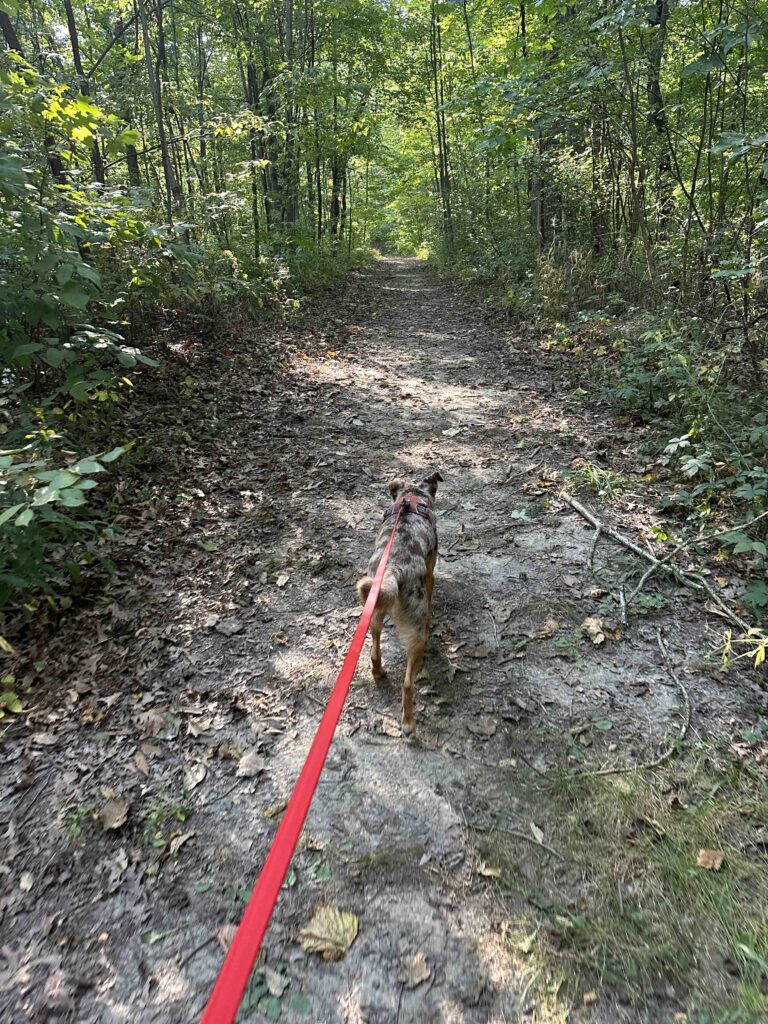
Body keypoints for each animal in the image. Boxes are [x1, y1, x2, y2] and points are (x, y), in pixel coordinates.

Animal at [356, 471, 442, 737]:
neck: (411, 499)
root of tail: (394, 570)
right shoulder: (430, 573)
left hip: (374, 615)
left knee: (374, 651)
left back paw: (378, 673)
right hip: (416, 637)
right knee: (407, 685)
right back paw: (408, 723)